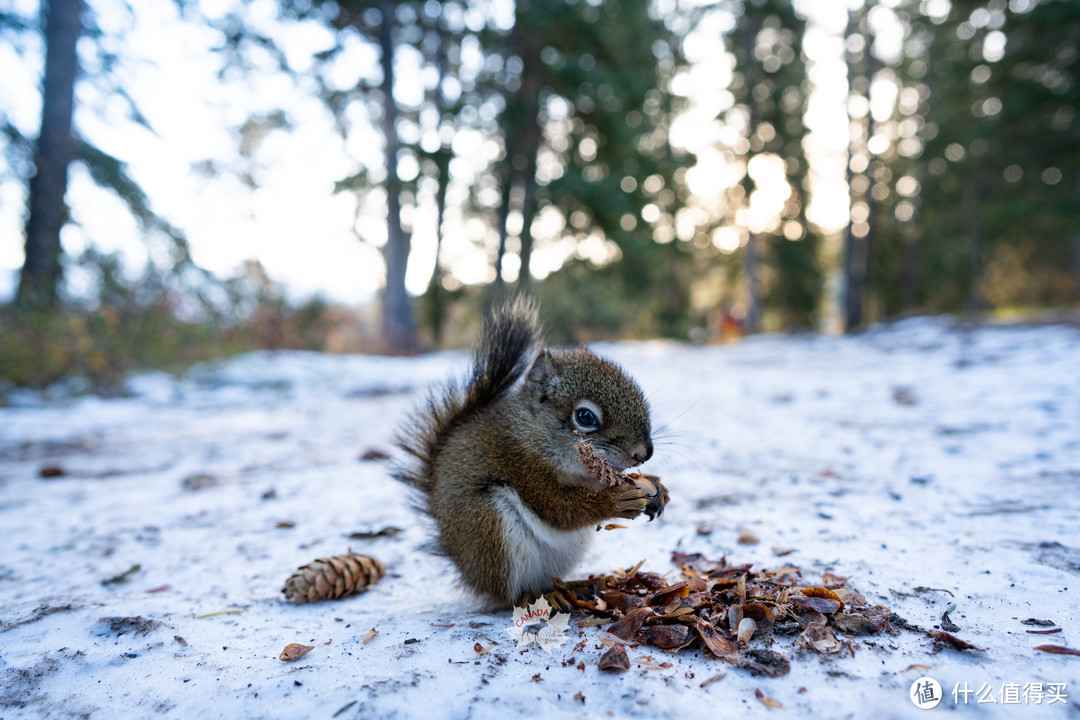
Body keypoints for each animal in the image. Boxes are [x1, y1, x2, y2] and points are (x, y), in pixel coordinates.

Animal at [397, 297, 665, 608]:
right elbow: (558, 507)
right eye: (585, 417)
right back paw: (538, 597)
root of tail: (469, 571)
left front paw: (658, 488)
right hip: (488, 526)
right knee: (510, 594)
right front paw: (614, 500)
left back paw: (584, 584)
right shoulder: (521, 464)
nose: (643, 453)